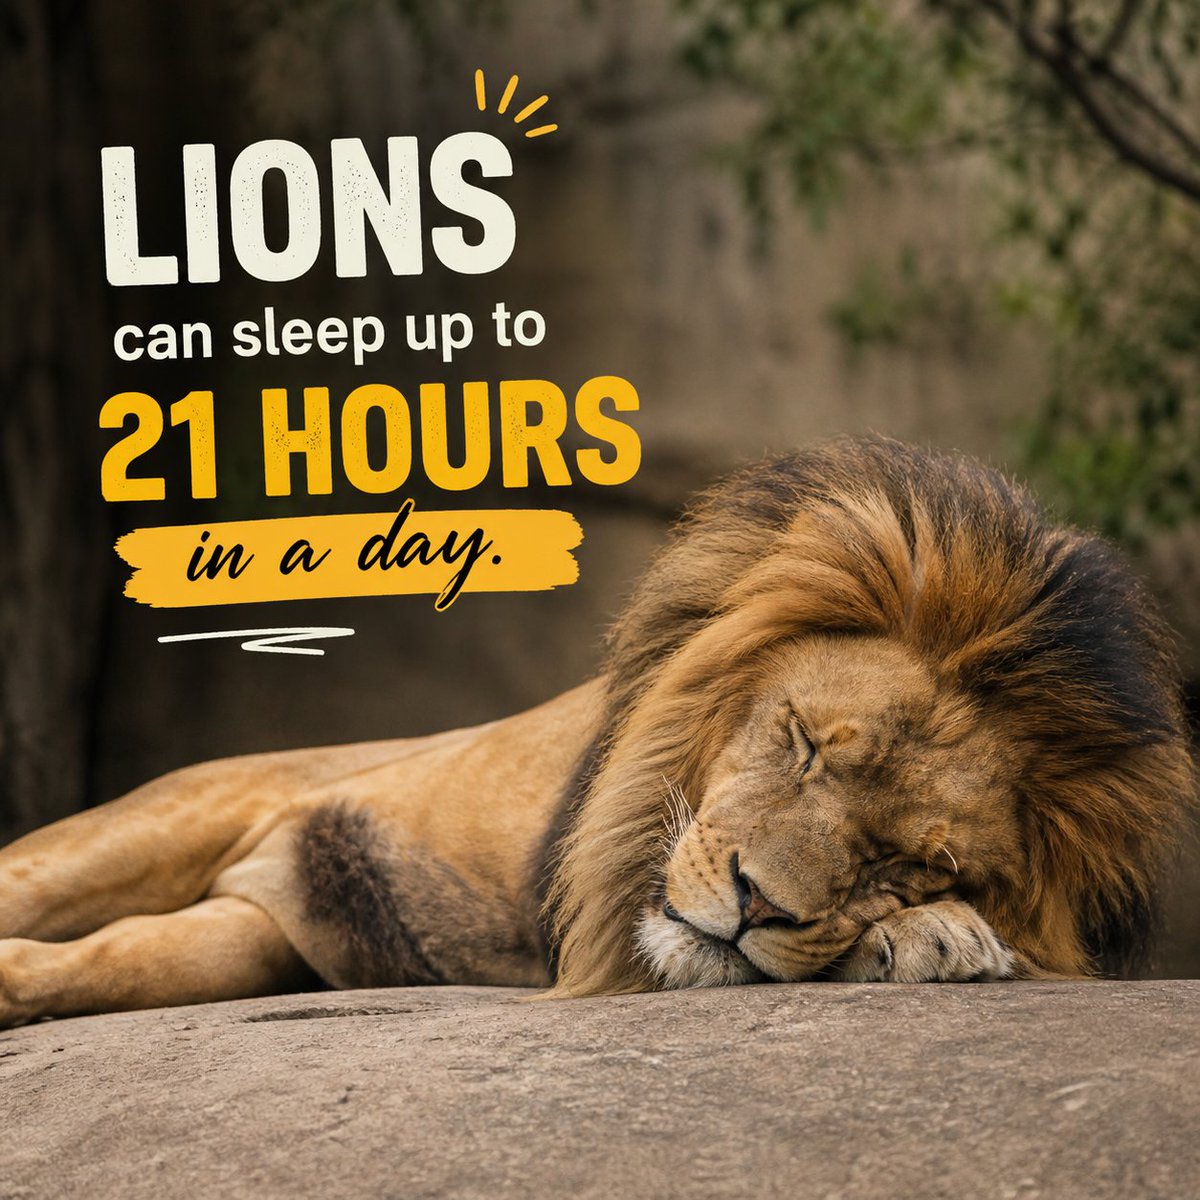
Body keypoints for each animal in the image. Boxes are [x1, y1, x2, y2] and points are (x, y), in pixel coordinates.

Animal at [0, 437, 1194, 1026]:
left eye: (914, 862)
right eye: (803, 740)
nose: (758, 902)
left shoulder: (280, 906)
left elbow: (109, 961)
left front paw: (933, 939)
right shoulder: (266, 808)